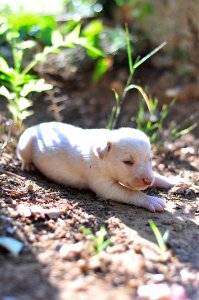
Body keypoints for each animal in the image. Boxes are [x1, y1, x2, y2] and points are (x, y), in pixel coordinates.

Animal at [17, 121, 177, 211]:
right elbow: (130, 192)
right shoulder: (103, 184)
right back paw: (28, 165)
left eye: (150, 159)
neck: (102, 158)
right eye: (128, 162)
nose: (148, 181)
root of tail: (38, 126)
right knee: (23, 156)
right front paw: (151, 200)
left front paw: (172, 181)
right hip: (26, 142)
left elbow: (158, 177)